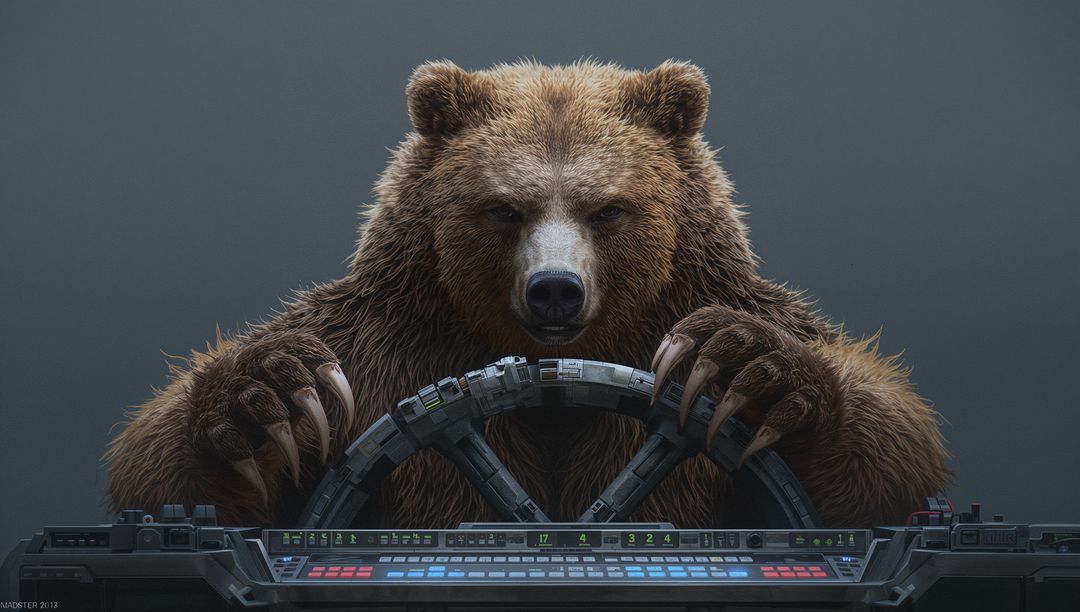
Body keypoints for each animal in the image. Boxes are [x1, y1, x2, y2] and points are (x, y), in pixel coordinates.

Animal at [104, 59, 950, 530]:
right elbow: (170, 478)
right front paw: (269, 397)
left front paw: (741, 365)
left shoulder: (698, 306)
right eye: (504, 208)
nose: (554, 292)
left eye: (608, 208)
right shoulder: (386, 347)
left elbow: (887, 463)